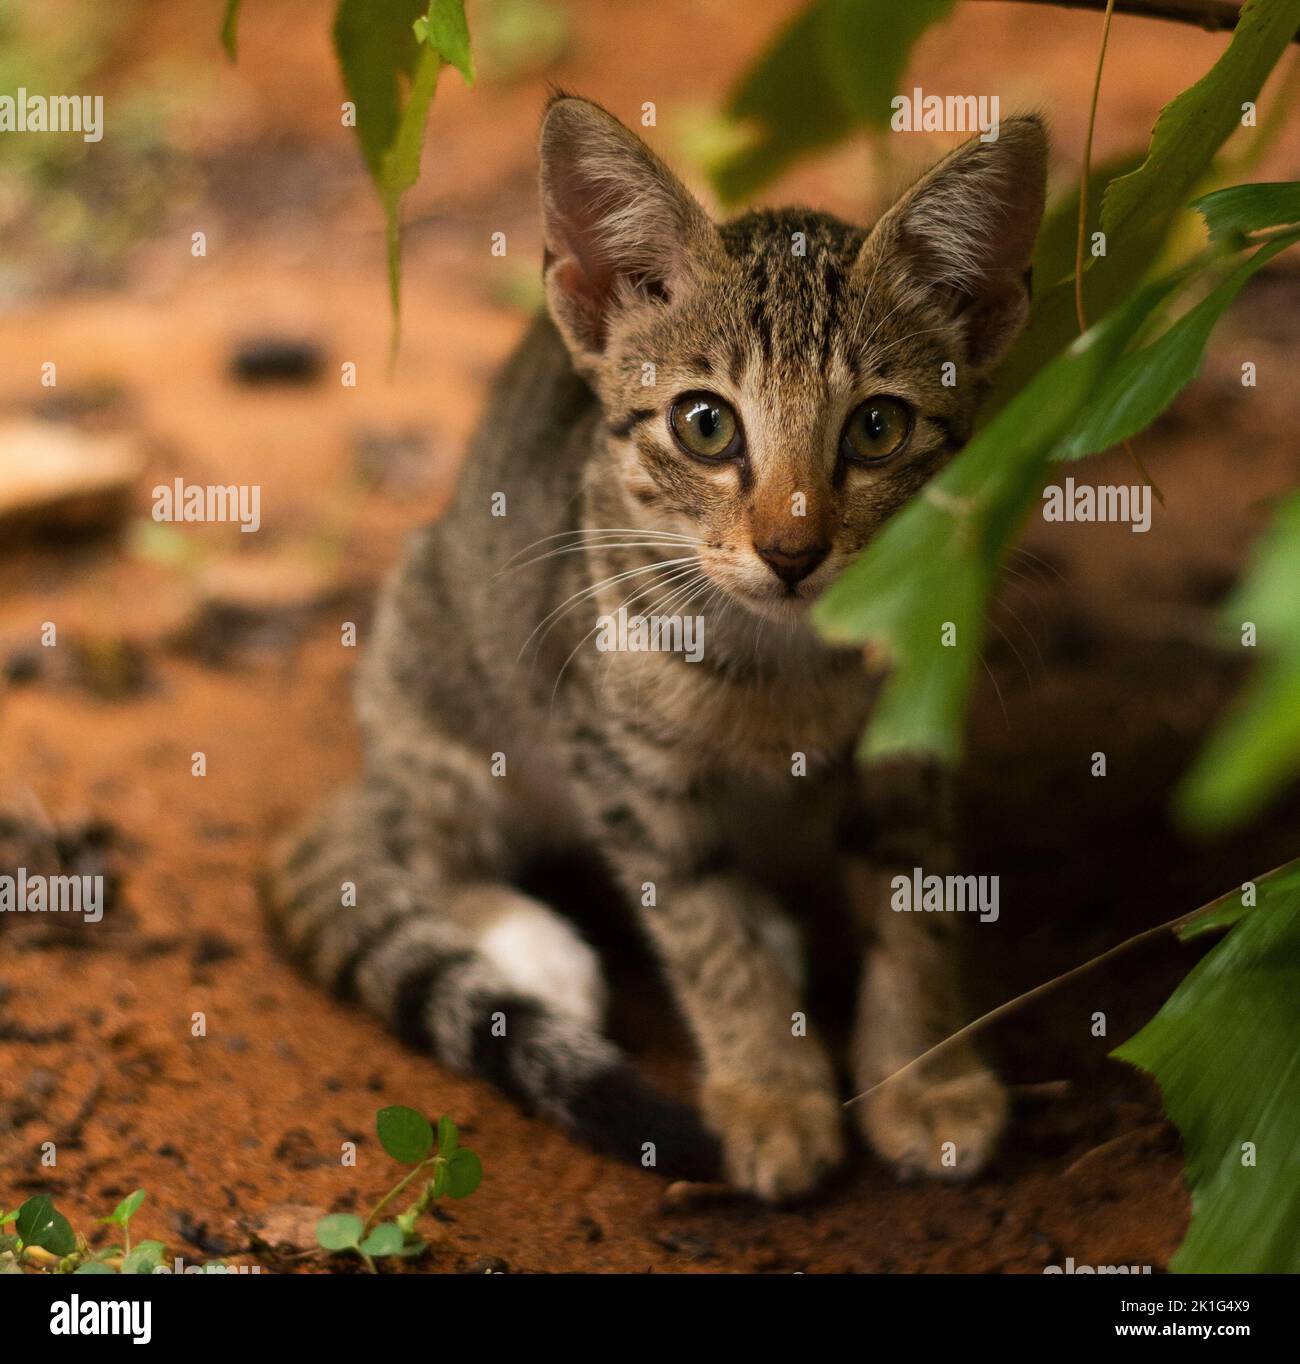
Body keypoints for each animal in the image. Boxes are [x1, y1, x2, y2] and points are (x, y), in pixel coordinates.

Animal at [268, 96, 1047, 1200]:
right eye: (706, 424)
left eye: (878, 429)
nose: (792, 550)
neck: (785, 662)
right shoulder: (613, 754)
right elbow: (699, 927)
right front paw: (770, 1091)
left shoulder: (908, 740)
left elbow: (915, 910)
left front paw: (925, 1077)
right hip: (438, 672)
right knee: (428, 837)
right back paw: (527, 942)